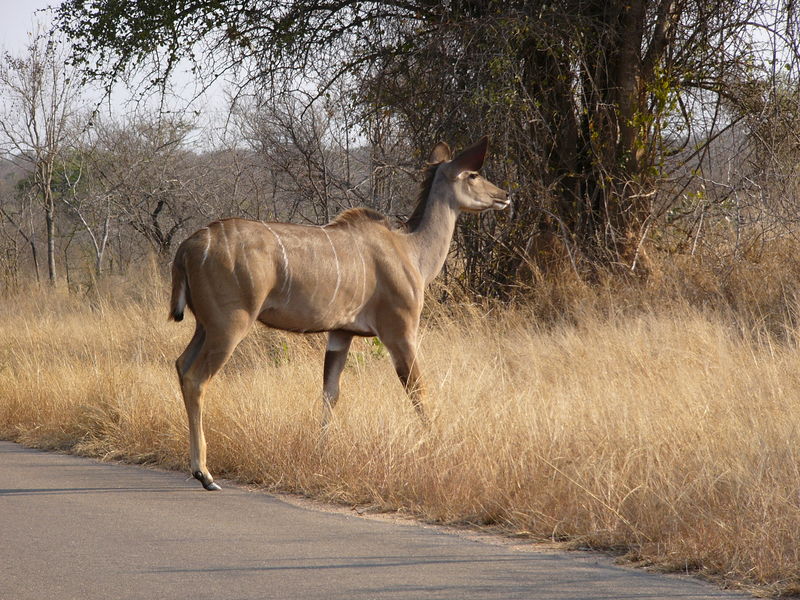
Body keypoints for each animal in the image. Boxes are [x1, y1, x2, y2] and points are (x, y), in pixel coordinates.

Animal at [170, 138, 510, 490]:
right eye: (473, 174)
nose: (504, 195)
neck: (411, 251)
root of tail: (187, 248)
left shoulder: (340, 334)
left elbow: (330, 392)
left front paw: (322, 451)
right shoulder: (400, 331)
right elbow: (418, 390)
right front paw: (439, 446)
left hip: (205, 326)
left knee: (181, 365)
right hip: (229, 326)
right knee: (196, 378)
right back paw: (204, 473)